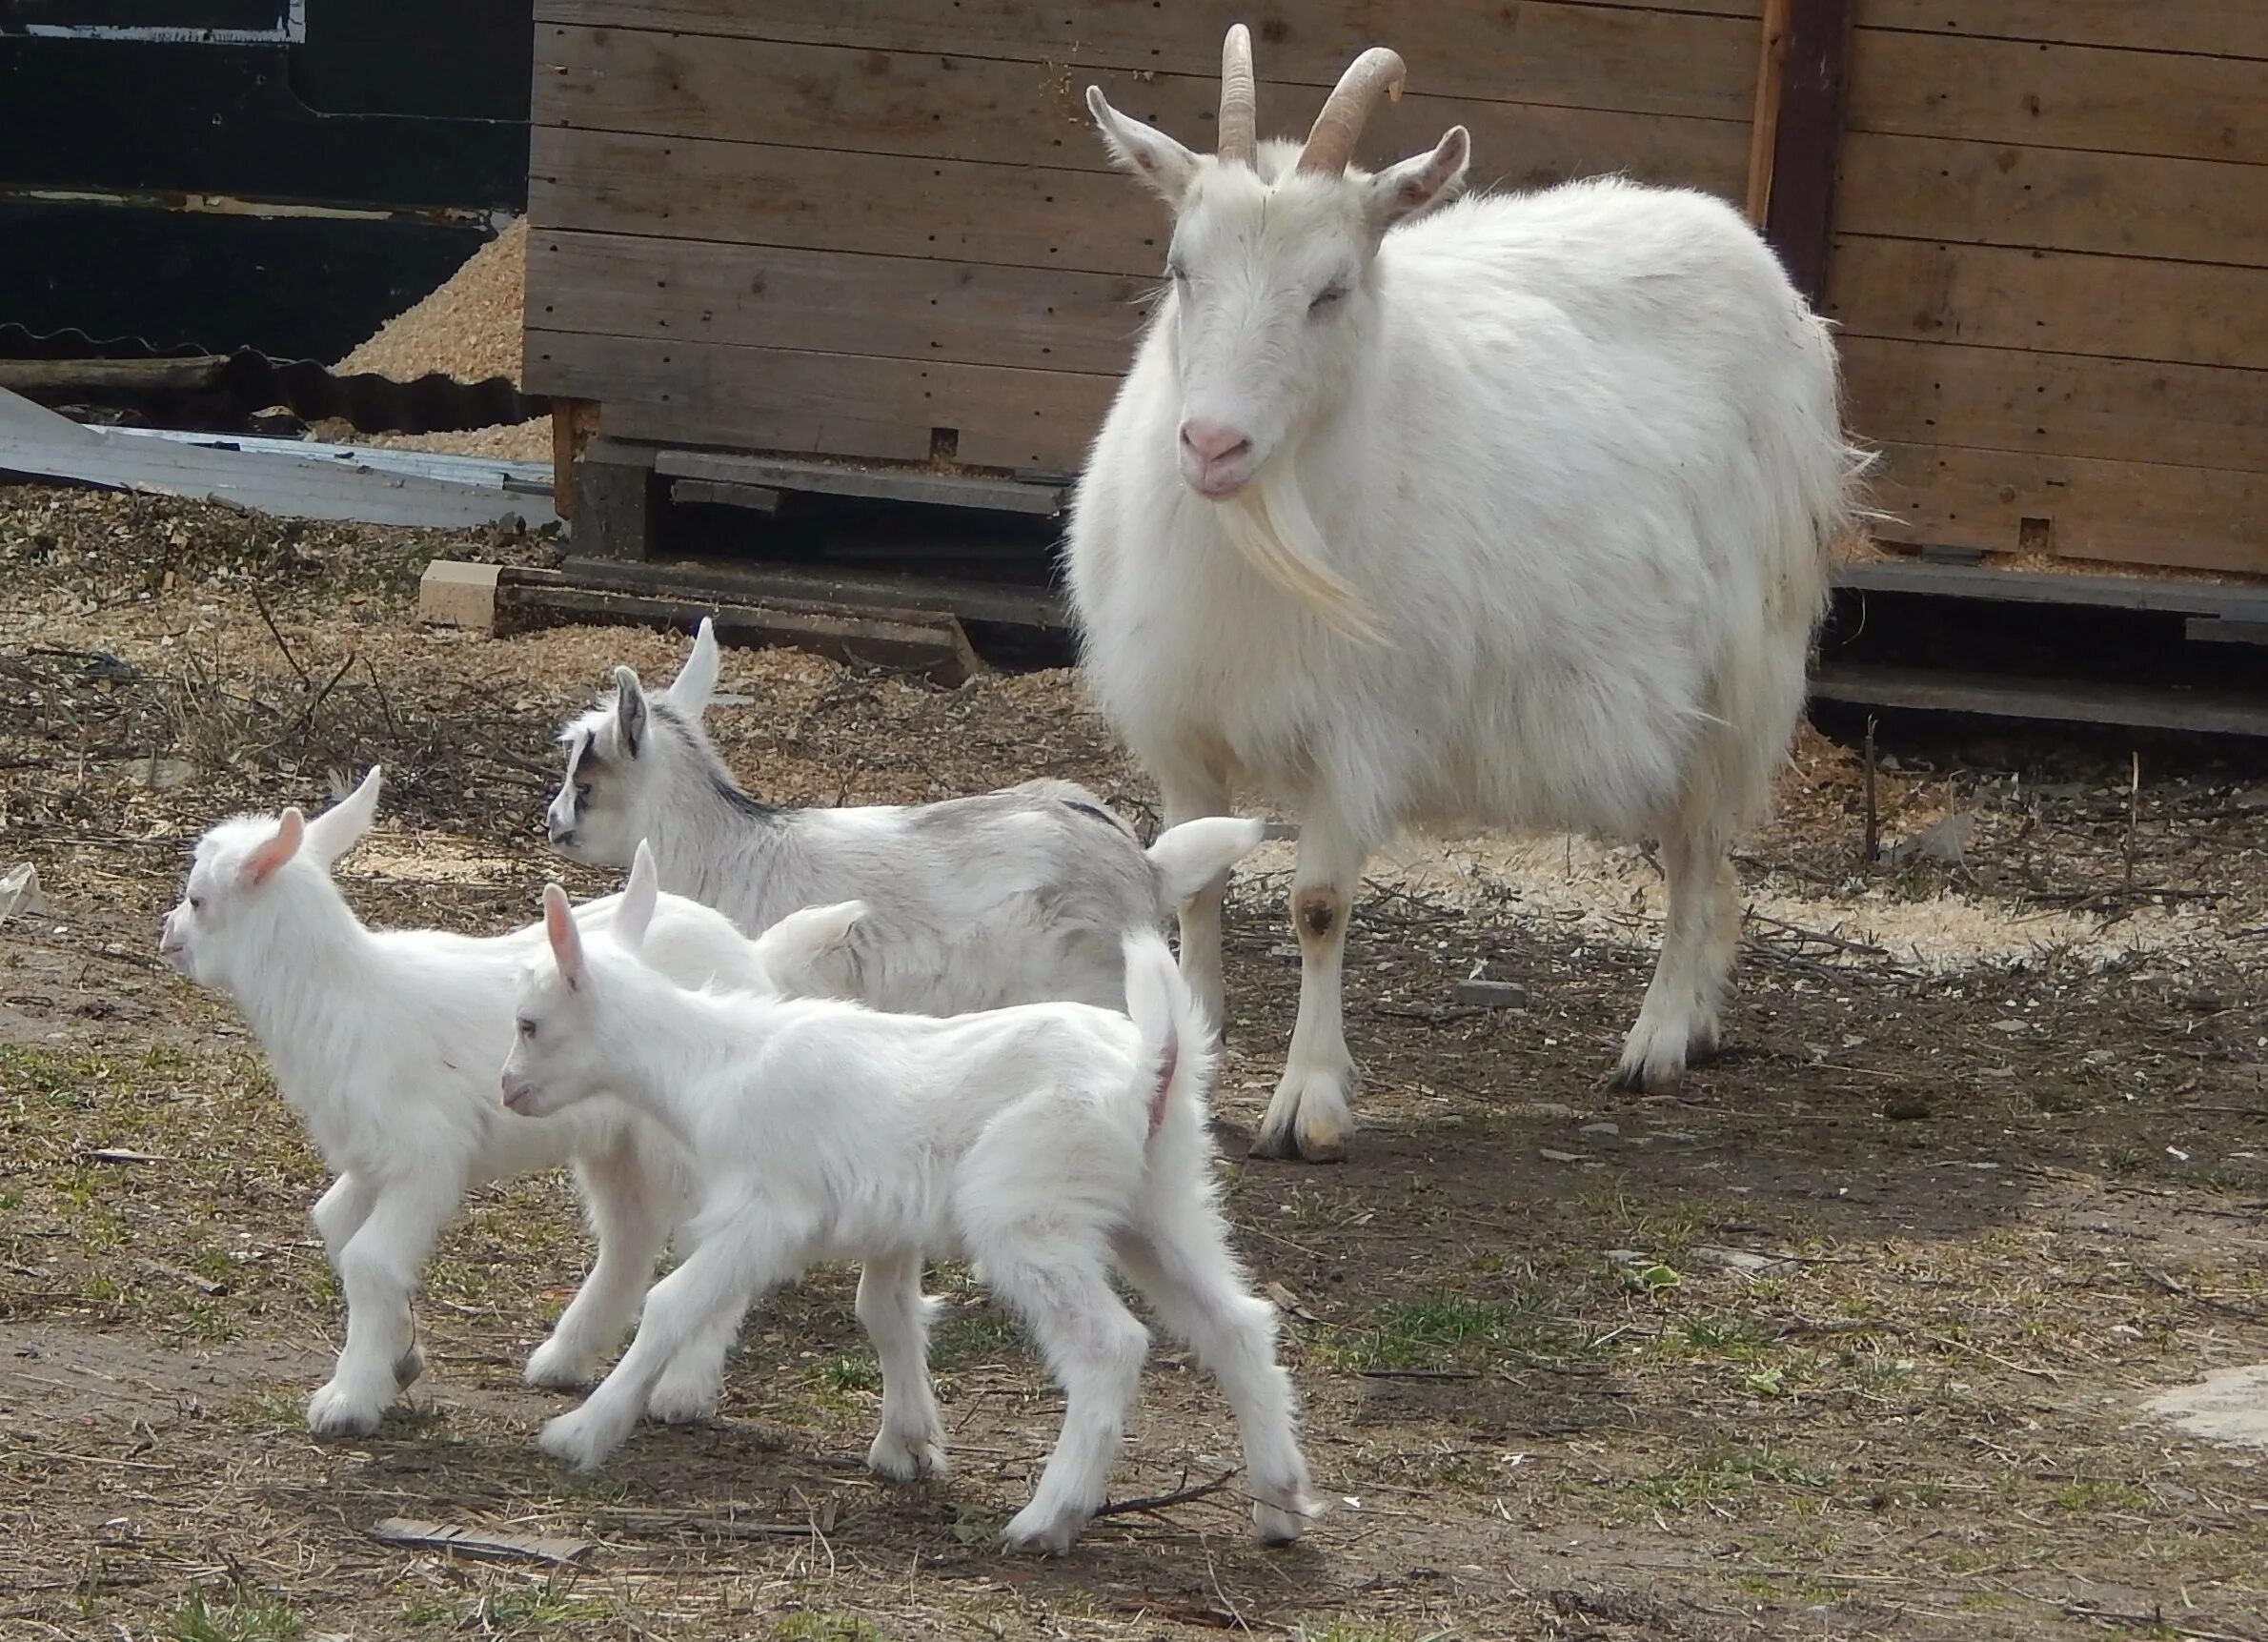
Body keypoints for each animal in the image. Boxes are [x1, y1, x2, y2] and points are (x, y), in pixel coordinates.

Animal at [157, 771, 852, 1433]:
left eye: (198, 898)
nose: (168, 936)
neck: (342, 994)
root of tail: (753, 961)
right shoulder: (370, 1160)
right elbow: (336, 1228)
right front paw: (400, 1358)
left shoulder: (426, 1156)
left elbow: (370, 1259)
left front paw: (349, 1399)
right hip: (617, 1141)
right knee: (630, 1236)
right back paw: (565, 1358)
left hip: (690, 1147)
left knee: (714, 1260)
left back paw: (682, 1390)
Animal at [1070, 25, 1869, 1156]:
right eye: (1181, 268)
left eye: (1330, 290)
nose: (1213, 444)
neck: (1264, 530)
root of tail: (1752, 256)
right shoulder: (1186, 726)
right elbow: (1195, 890)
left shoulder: (1357, 728)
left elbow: (1318, 903)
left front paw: (1308, 1101)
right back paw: (1704, 1018)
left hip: (1740, 670)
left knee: (1695, 846)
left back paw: (1660, 1036)